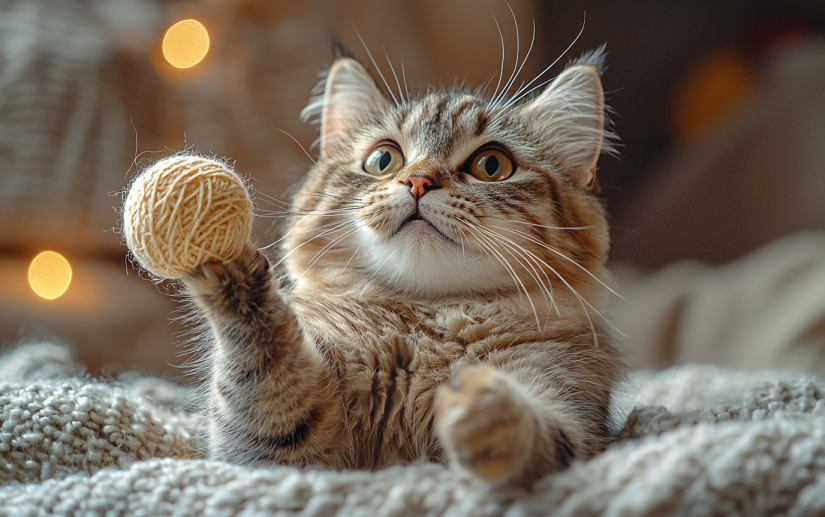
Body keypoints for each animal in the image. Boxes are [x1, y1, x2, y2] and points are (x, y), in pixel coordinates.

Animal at [183, 45, 620, 488]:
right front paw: (230, 266)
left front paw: (484, 408)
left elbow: (537, 436)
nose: (418, 181)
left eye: (492, 165)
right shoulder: (272, 449)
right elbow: (264, 356)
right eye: (383, 160)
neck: (425, 323)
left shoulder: (573, 408)